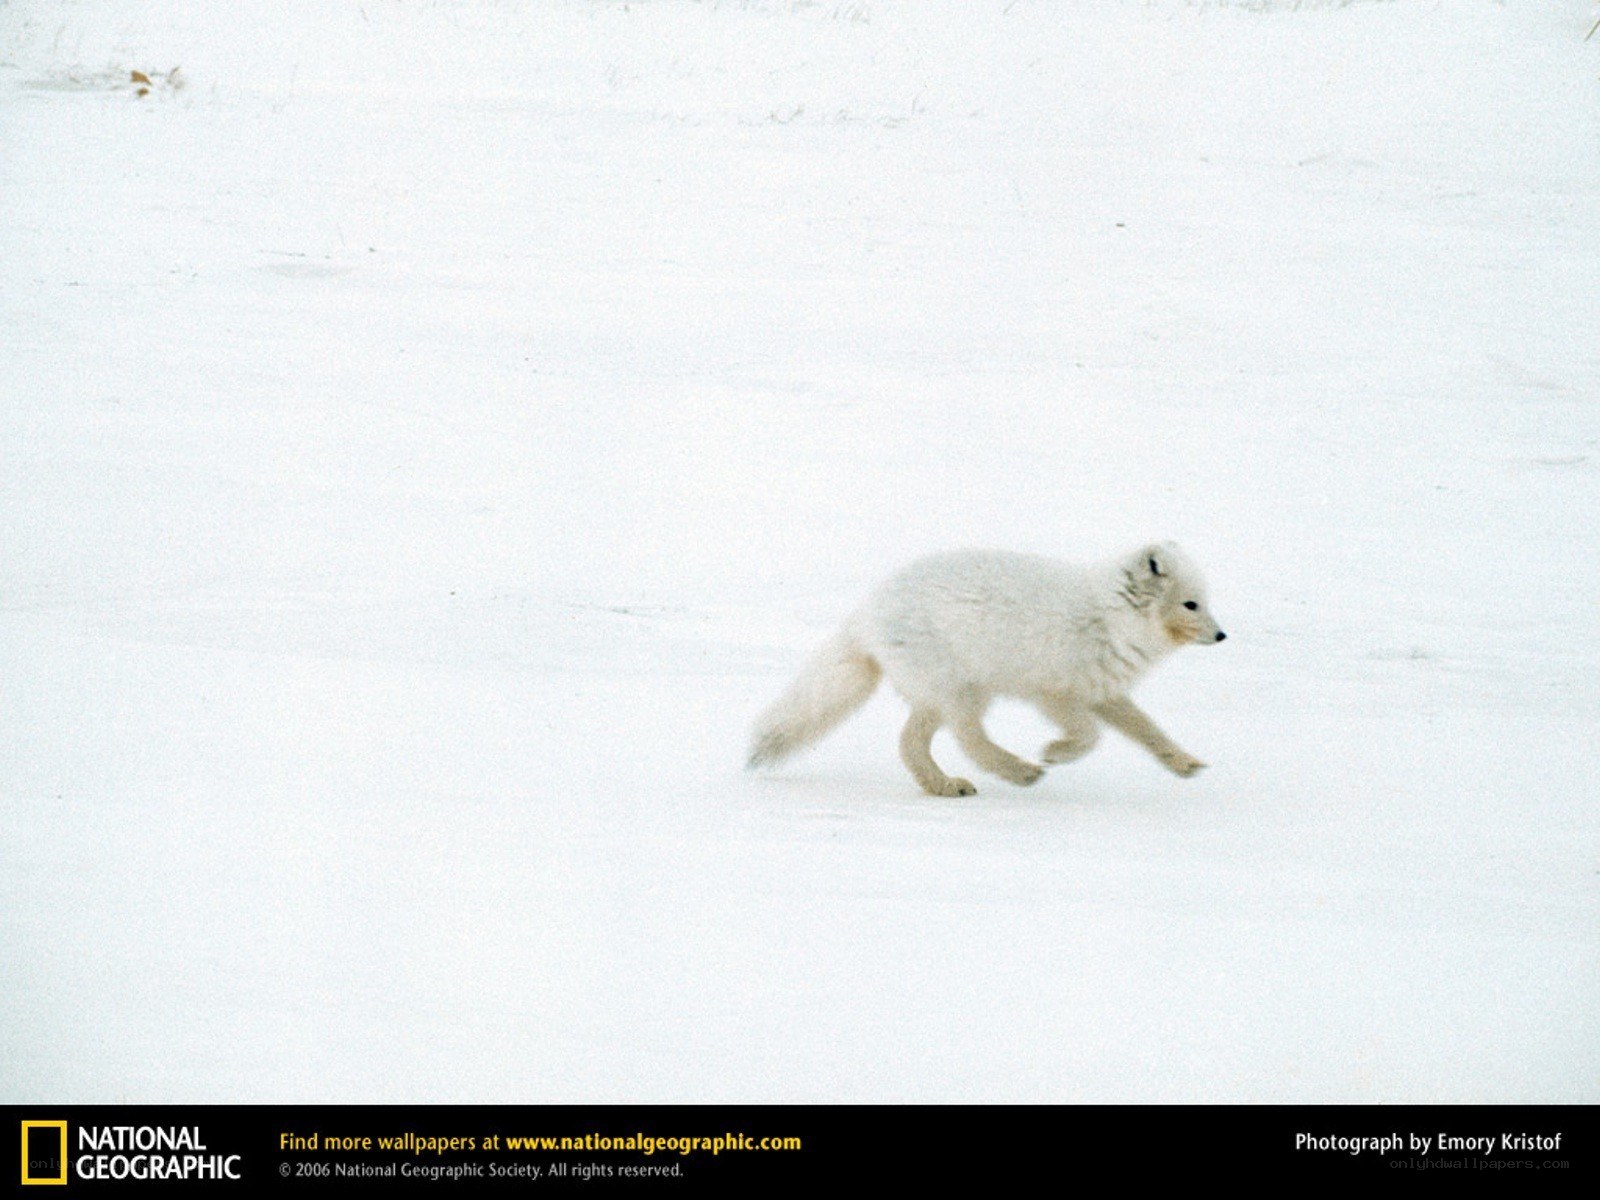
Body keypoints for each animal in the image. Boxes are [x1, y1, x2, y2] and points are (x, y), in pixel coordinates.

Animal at [747, 542, 1225, 796]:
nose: (1223, 636)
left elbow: (1149, 731)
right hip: (963, 691)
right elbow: (1090, 736)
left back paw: (943, 786)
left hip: (940, 695)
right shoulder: (1055, 692)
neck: (1109, 615)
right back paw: (1018, 771)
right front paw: (1054, 752)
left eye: (1204, 602)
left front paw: (1183, 764)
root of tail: (865, 613)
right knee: (968, 739)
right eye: (1191, 604)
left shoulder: (1102, 691)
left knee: (910, 743)